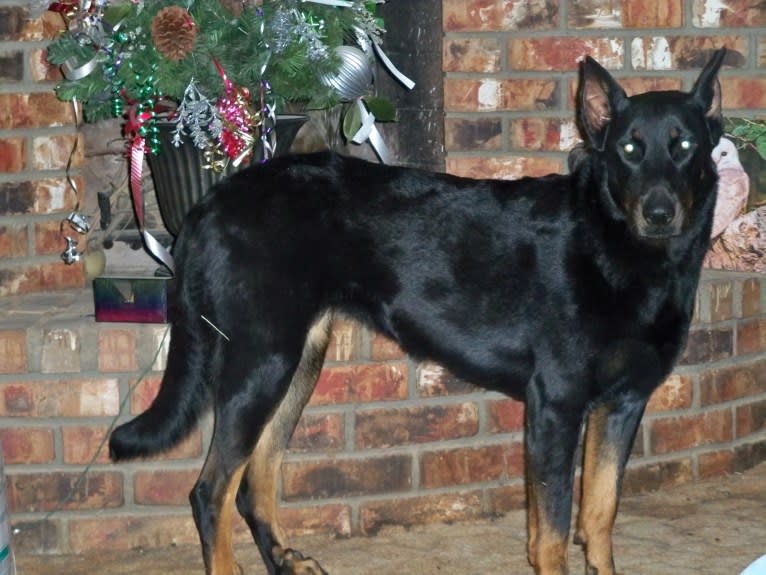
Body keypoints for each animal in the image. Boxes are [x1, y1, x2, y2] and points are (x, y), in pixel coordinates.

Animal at [111, 50, 728, 575]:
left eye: (685, 147)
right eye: (629, 149)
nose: (658, 213)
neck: (618, 249)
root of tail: (209, 203)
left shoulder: (622, 405)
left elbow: (598, 516)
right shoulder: (556, 405)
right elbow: (551, 533)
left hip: (294, 363)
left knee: (252, 482)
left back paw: (285, 560)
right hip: (261, 362)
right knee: (211, 490)